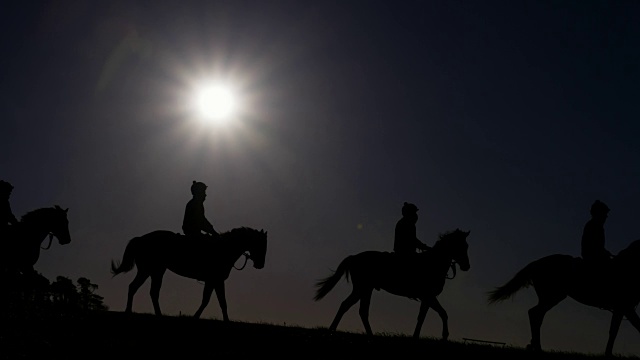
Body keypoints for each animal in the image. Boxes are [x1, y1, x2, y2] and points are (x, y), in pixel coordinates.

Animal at [111, 228, 266, 320]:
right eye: (262, 244)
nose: (261, 265)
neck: (224, 249)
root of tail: (140, 239)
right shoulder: (214, 280)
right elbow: (212, 301)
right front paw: (196, 317)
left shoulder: (214, 281)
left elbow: (218, 301)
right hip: (148, 270)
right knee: (138, 288)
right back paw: (131, 311)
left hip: (156, 271)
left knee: (147, 290)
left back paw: (152, 313)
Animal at [316, 229, 470, 338]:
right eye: (460, 245)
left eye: (466, 246)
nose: (467, 266)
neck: (433, 263)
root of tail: (354, 257)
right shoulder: (429, 296)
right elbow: (443, 313)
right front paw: (444, 336)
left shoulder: (427, 298)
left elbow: (422, 317)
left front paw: (416, 337)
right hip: (361, 288)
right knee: (347, 306)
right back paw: (332, 331)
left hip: (366, 289)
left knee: (360, 310)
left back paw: (367, 335)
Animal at [490, 239, 640, 358]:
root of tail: (536, 263)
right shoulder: (624, 307)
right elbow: (621, 330)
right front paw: (608, 354)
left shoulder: (623, 309)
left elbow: (618, 329)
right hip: (552, 297)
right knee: (534, 313)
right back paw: (538, 348)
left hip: (550, 298)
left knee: (537, 315)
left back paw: (533, 345)